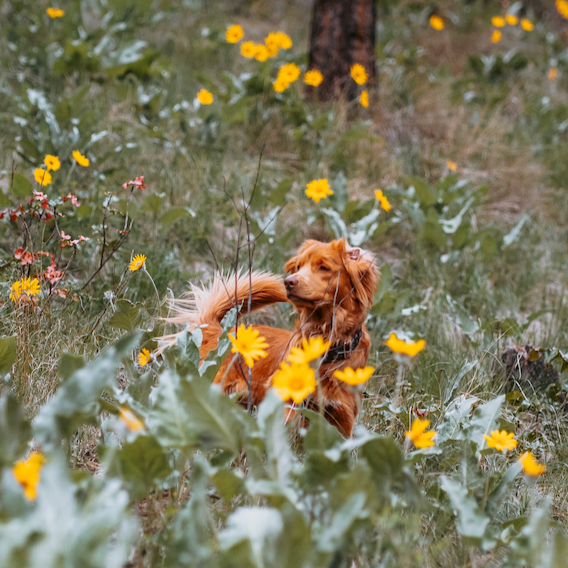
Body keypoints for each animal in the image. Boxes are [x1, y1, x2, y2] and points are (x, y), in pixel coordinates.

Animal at [160, 237, 380, 438]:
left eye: (324, 267)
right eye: (298, 266)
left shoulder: (341, 420)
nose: (289, 282)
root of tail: (216, 329)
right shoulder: (285, 402)